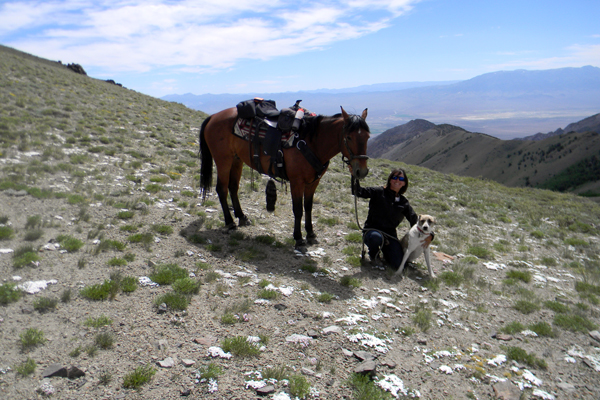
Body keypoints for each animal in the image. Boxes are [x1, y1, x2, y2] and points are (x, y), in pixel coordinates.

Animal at [200, 106, 370, 250]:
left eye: (368, 137)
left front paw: (310, 234)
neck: (312, 143)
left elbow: (308, 207)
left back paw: (242, 217)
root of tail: (214, 116)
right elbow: (298, 210)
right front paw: (299, 239)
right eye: (349, 137)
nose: (361, 171)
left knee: (233, 187)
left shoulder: (313, 182)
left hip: (236, 160)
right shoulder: (297, 182)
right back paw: (229, 222)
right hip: (223, 160)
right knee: (222, 189)